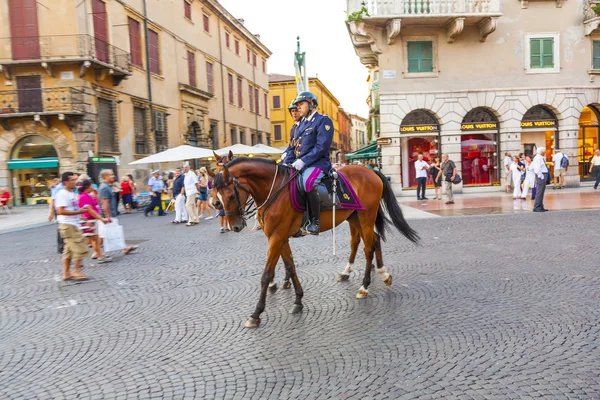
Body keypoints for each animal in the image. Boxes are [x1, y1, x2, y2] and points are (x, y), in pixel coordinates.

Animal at [211, 157, 418, 328]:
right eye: (217, 196)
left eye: (231, 195)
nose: (235, 226)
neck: (274, 189)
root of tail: (371, 171)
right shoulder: (279, 237)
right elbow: (290, 266)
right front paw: (297, 301)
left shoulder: (276, 237)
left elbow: (266, 275)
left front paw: (256, 314)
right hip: (354, 217)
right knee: (372, 240)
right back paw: (382, 274)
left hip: (366, 216)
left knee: (368, 247)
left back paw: (364, 286)